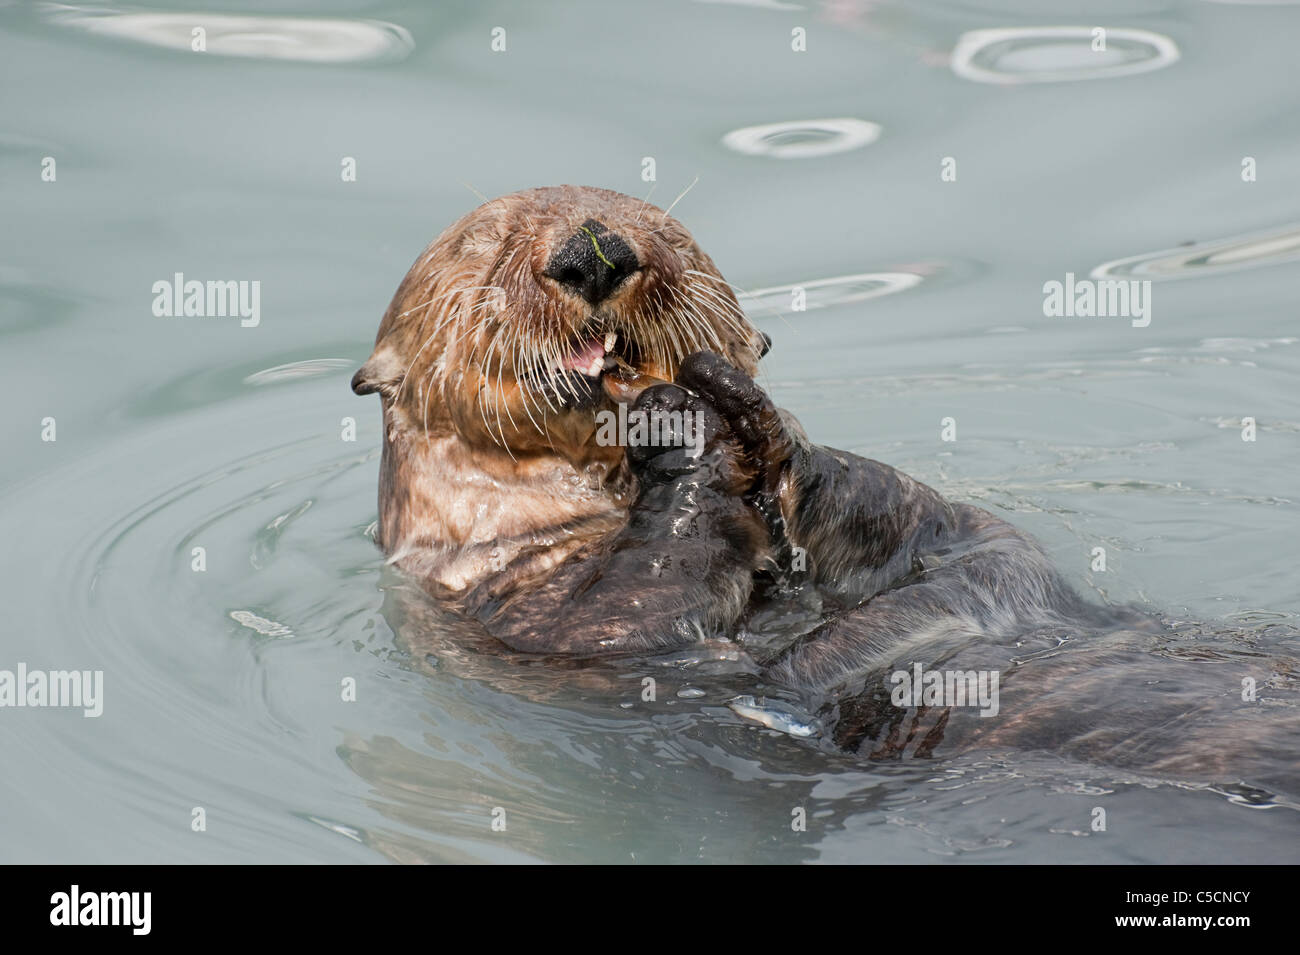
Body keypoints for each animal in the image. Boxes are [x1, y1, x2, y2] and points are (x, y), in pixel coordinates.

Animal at [352, 185, 1298, 792]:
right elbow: (622, 612)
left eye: (663, 225)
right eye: (484, 240)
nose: (596, 249)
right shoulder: (508, 615)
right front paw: (677, 424)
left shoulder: (951, 539)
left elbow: (938, 526)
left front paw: (753, 418)